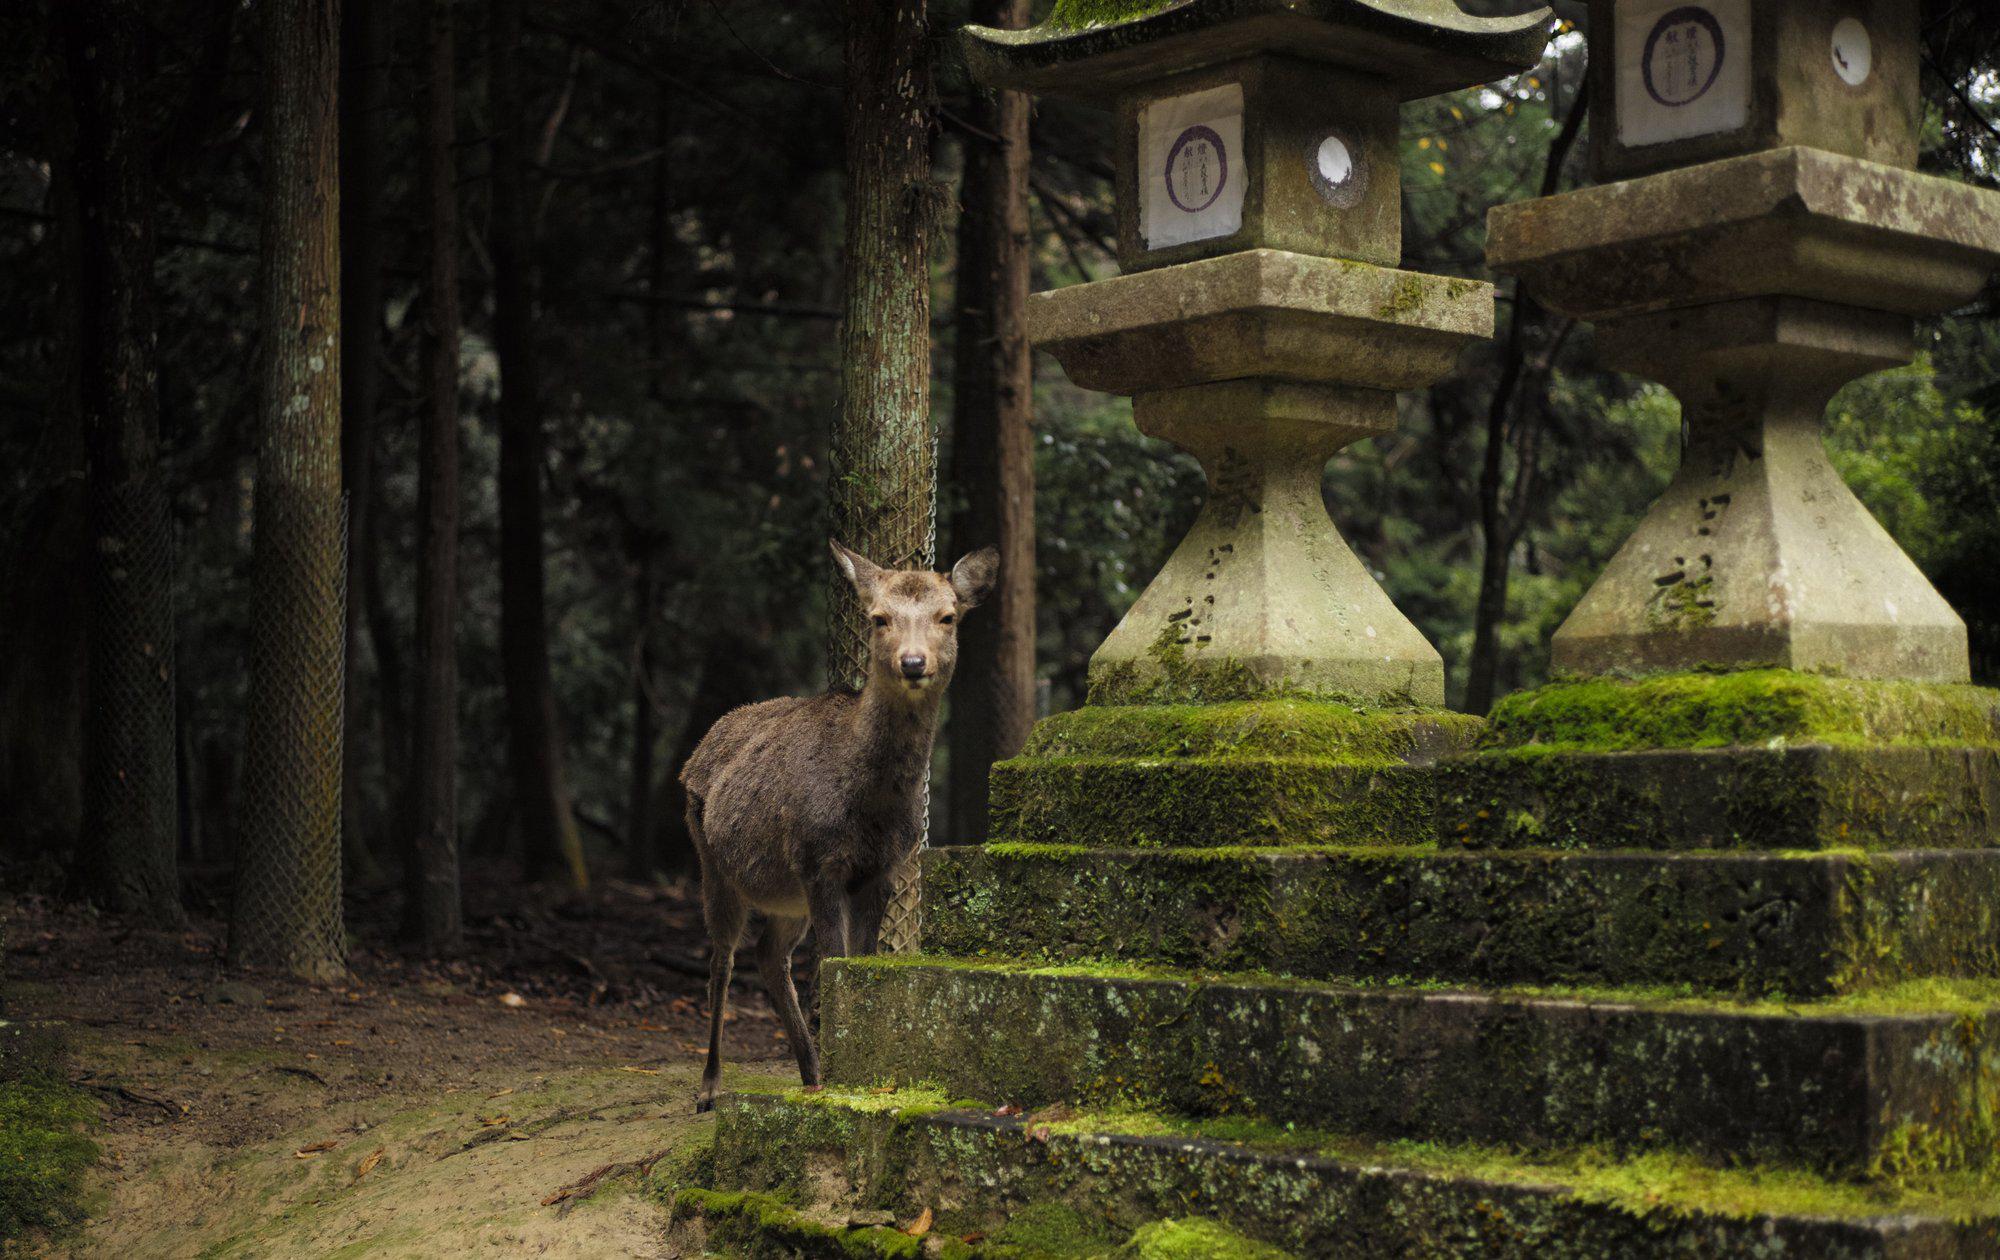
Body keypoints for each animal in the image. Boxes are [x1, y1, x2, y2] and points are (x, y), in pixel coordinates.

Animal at [680, 540, 1000, 1112]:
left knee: (769, 955)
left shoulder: (882, 870)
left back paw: (810, 1074)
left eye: (947, 616)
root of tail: (695, 751)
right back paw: (710, 1087)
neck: (869, 808)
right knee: (723, 960)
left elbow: (862, 960)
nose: (912, 662)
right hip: (714, 865)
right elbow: (833, 960)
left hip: (785, 895)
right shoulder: (818, 860)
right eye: (878, 618)